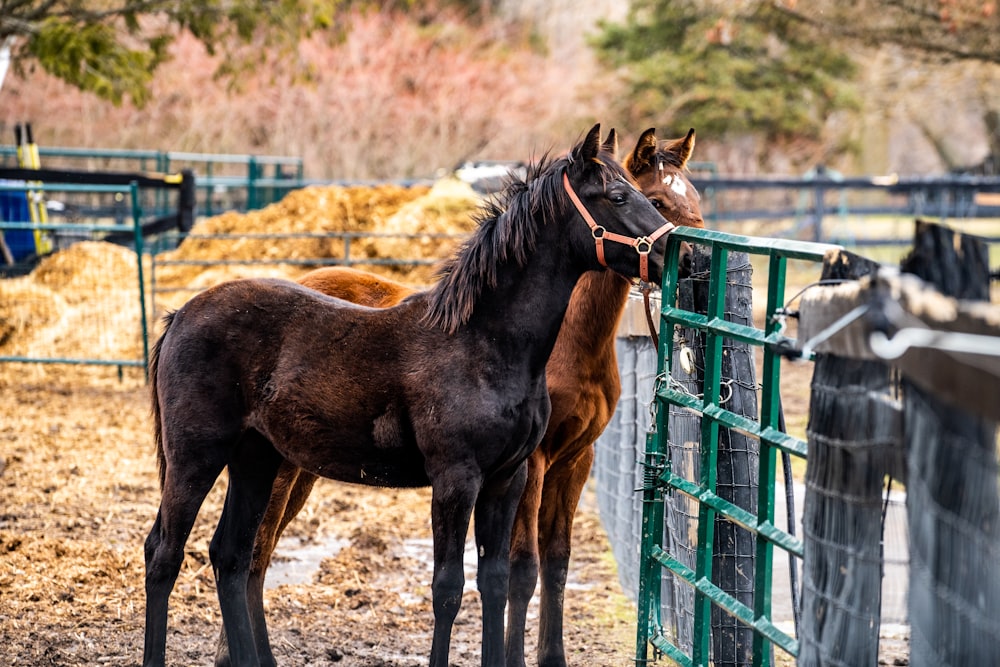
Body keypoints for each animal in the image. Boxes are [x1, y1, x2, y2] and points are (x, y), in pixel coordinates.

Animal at [143, 126, 680, 667]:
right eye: (620, 196)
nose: (682, 256)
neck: (483, 341)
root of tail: (180, 314)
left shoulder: (507, 479)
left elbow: (495, 583)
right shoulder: (456, 480)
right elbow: (448, 589)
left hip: (256, 460)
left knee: (230, 557)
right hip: (196, 457)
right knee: (165, 554)